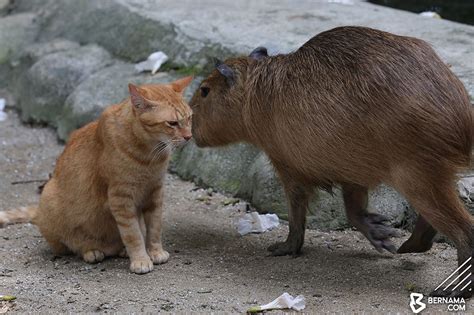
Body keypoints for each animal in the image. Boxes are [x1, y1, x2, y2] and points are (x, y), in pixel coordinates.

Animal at [0, 76, 193, 274]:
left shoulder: (155, 192)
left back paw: (121, 250)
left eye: (189, 118)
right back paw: (91, 250)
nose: (189, 136)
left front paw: (155, 252)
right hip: (49, 197)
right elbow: (133, 234)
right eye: (172, 123)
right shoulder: (120, 198)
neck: (150, 155)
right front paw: (140, 259)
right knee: (69, 247)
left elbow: (154, 228)